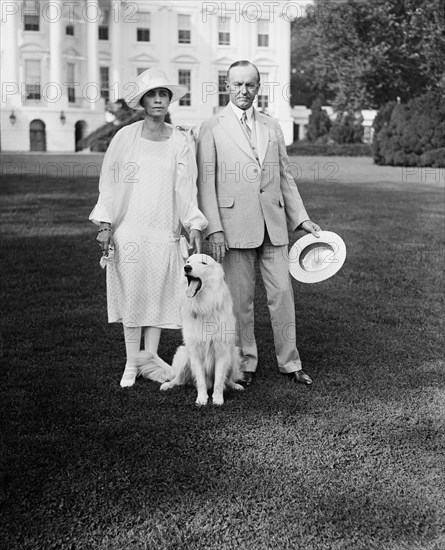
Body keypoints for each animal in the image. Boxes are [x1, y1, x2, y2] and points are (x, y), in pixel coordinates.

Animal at [160, 254, 243, 406]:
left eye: (204, 263)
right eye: (188, 261)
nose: (186, 268)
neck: (203, 306)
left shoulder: (221, 352)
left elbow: (219, 381)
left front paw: (217, 399)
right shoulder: (195, 353)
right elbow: (201, 382)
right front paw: (202, 399)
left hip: (233, 355)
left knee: (227, 380)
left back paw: (235, 386)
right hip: (183, 354)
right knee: (179, 379)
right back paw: (168, 385)